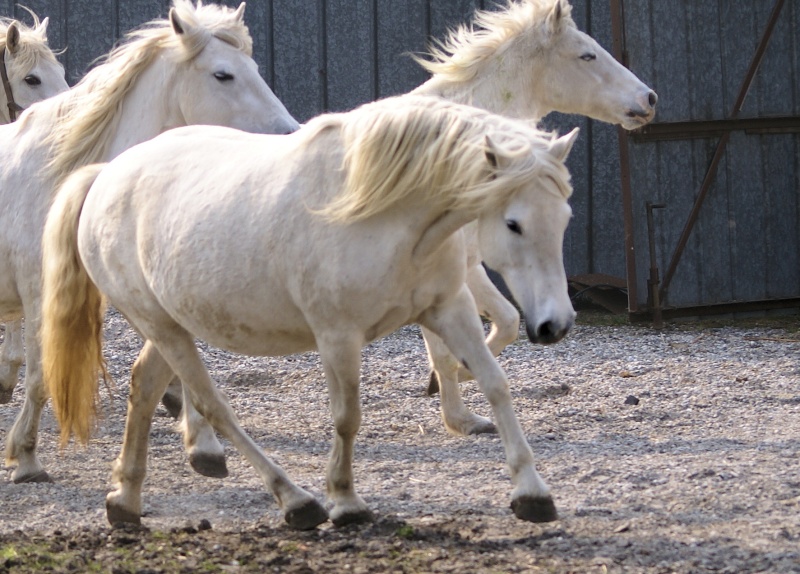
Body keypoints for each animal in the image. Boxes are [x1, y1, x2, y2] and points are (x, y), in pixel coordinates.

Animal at [0, 0, 296, 486]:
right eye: (223, 74)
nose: (290, 133)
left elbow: (175, 364)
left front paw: (204, 444)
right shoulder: (40, 293)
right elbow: (41, 374)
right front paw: (25, 456)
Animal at [42, 94, 576, 532]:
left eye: (565, 217)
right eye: (514, 223)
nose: (555, 325)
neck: (387, 214)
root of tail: (105, 176)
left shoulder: (449, 311)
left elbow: (495, 385)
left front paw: (532, 493)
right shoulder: (338, 336)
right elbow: (347, 417)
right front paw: (346, 501)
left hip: (170, 325)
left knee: (146, 385)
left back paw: (125, 500)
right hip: (164, 327)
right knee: (212, 404)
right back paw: (296, 500)